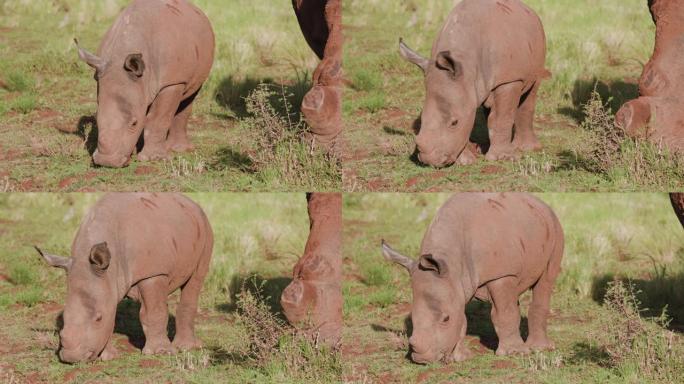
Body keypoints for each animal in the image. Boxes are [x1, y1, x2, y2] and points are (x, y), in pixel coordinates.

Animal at [32, 194, 212, 364]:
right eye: (64, 318)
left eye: (99, 318)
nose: (72, 357)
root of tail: (191, 202)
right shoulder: (107, 282)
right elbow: (111, 318)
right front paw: (108, 357)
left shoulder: (153, 273)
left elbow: (154, 312)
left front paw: (160, 353)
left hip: (205, 226)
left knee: (196, 279)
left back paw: (185, 348)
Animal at [75, 0, 215, 168]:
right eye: (96, 119)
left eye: (134, 123)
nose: (107, 162)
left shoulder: (171, 83)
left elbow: (158, 118)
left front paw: (153, 159)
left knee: (189, 95)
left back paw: (179, 149)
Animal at [382, 194, 564, 364]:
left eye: (446, 319)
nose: (422, 359)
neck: (451, 261)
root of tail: (540, 203)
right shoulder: (456, 284)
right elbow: (462, 319)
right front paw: (461, 358)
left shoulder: (501, 274)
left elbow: (504, 313)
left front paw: (514, 354)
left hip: (555, 227)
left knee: (545, 281)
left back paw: (539, 348)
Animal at [400, 0, 552, 168]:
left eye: (454, 123)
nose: (429, 160)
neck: (466, 62)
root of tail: (527, 9)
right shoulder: (464, 84)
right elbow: (471, 120)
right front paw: (465, 161)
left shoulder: (509, 80)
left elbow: (502, 117)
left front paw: (502, 158)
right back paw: (482, 148)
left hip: (538, 42)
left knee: (531, 92)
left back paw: (527, 149)